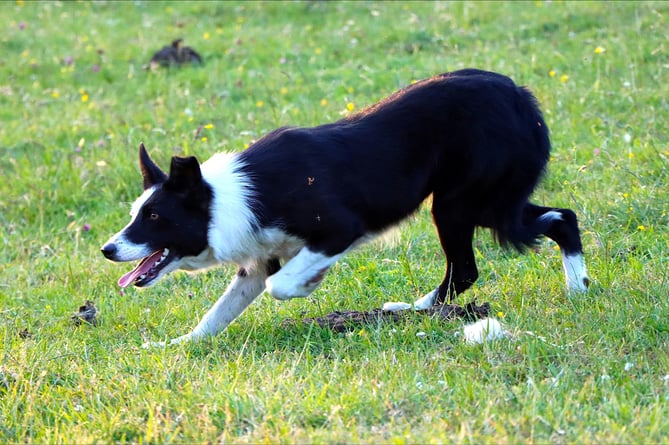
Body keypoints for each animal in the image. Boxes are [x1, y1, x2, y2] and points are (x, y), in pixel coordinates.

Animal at [102, 69, 588, 346]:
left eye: (154, 217)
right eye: (134, 214)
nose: (107, 249)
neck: (227, 199)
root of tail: (520, 95)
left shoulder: (338, 229)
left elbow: (281, 285)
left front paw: (307, 283)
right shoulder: (256, 261)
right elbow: (216, 315)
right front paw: (178, 345)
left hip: (462, 203)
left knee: (485, 258)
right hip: (479, 203)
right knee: (558, 220)